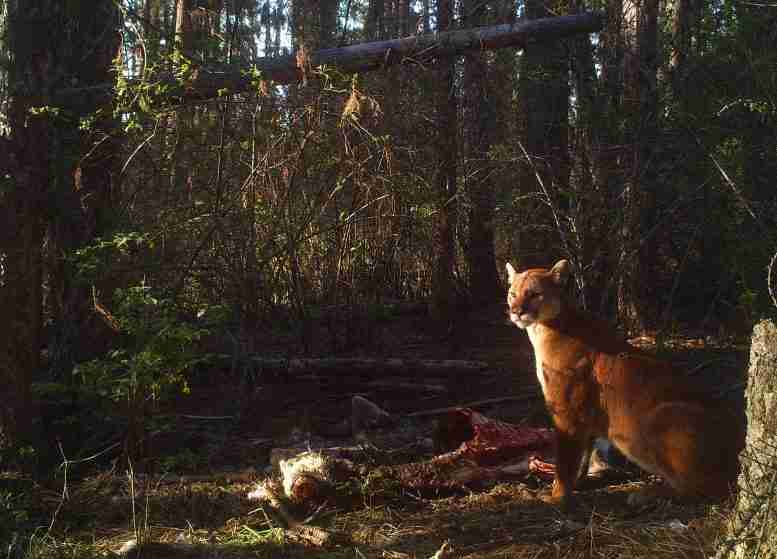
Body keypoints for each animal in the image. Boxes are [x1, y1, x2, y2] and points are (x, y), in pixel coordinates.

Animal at [506, 260, 744, 510]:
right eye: (512, 294)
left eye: (534, 294)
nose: (516, 311)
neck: (546, 328)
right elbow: (583, 454)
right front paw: (577, 483)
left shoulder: (566, 413)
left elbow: (566, 461)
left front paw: (557, 498)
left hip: (658, 417)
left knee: (709, 488)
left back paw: (646, 494)